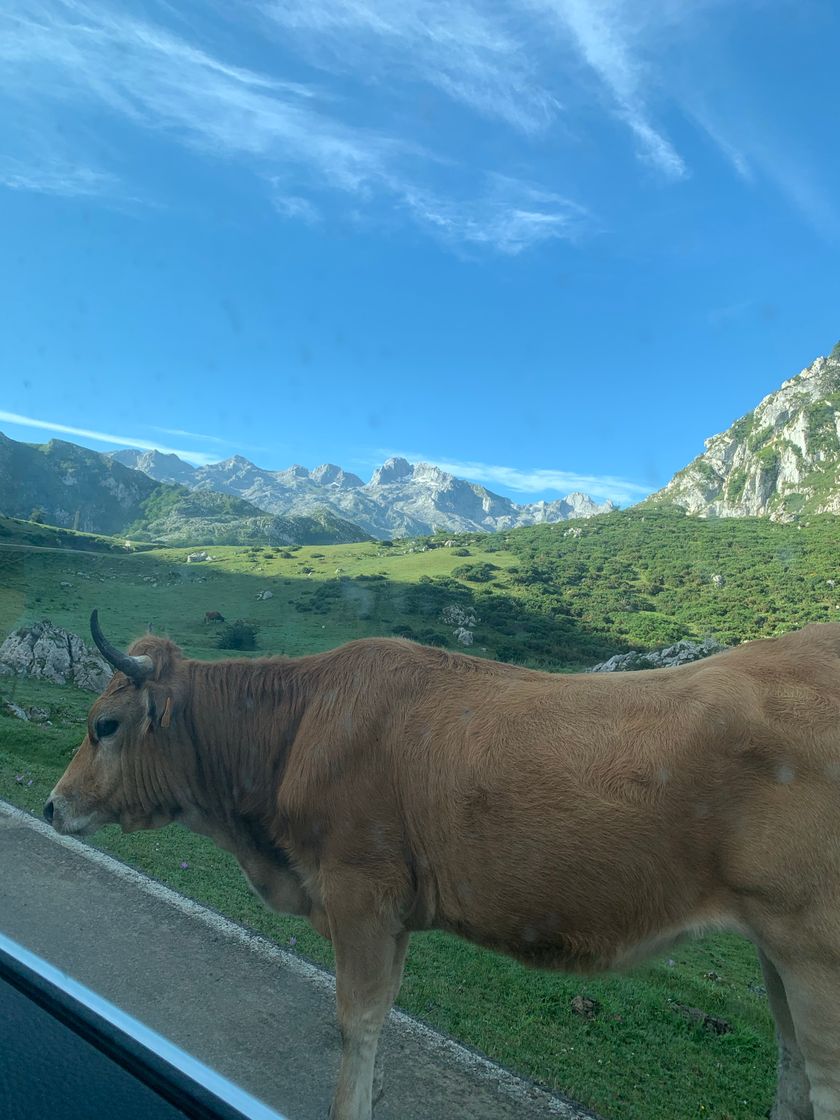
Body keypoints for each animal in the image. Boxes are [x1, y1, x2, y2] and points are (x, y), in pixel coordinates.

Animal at [44, 613, 840, 1120]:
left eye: (103, 726)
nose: (52, 806)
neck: (299, 728)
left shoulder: (360, 892)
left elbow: (357, 1018)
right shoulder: (394, 909)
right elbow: (381, 1013)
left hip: (815, 952)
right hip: (774, 947)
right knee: (792, 1075)